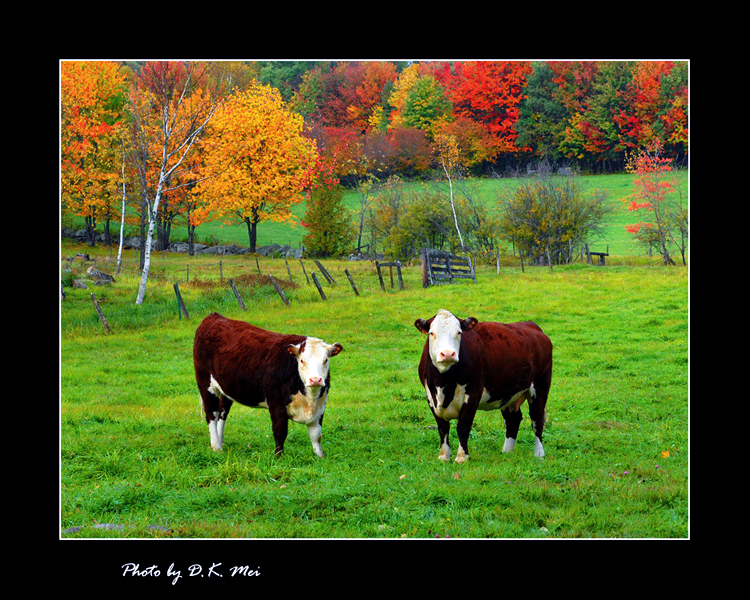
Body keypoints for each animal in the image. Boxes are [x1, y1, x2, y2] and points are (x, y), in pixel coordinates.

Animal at [193, 313, 343, 457]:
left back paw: (221, 441)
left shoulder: (320, 406)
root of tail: (214, 317)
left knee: (222, 412)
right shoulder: (277, 404)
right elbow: (280, 432)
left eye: (326, 360)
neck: (309, 398)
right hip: (205, 383)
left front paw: (320, 456)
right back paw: (216, 447)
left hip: (226, 388)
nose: (315, 379)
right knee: (211, 413)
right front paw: (279, 457)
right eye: (302, 360)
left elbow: (316, 434)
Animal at [414, 309, 552, 463]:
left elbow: (463, 427)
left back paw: (539, 454)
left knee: (537, 419)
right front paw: (444, 456)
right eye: (431, 333)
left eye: (459, 332)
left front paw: (461, 457)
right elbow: (443, 428)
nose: (448, 354)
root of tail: (531, 325)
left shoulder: (472, 395)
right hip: (506, 392)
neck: (443, 385)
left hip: (540, 386)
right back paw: (506, 452)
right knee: (513, 419)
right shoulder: (431, 397)